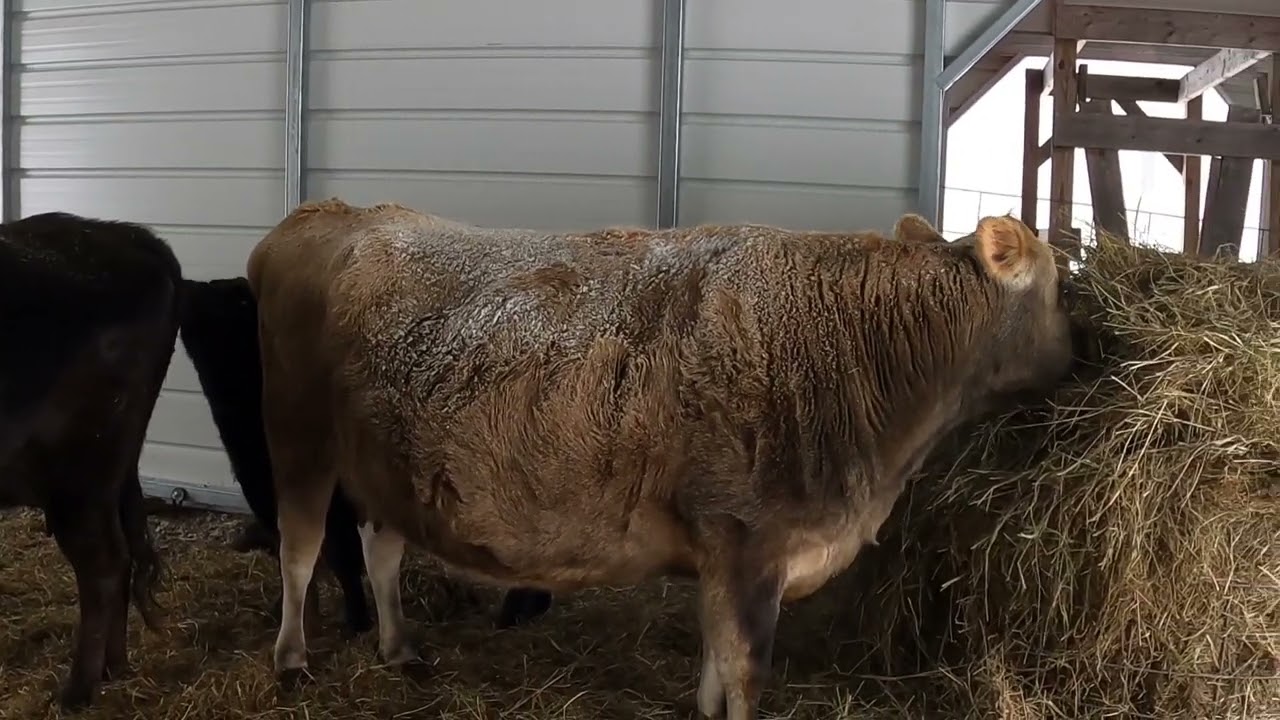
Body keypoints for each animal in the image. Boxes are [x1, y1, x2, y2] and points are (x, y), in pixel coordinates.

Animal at [0, 211, 177, 710]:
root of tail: (126, 233)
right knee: (119, 559)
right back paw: (112, 667)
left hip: (79, 469)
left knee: (103, 563)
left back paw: (78, 690)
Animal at [242, 200, 1079, 720]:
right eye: (1060, 286)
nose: (1084, 352)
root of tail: (332, 214)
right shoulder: (749, 539)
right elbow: (745, 668)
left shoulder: (721, 549)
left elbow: (714, 657)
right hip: (297, 437)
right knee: (300, 549)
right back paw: (290, 660)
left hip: (389, 462)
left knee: (379, 549)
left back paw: (398, 648)